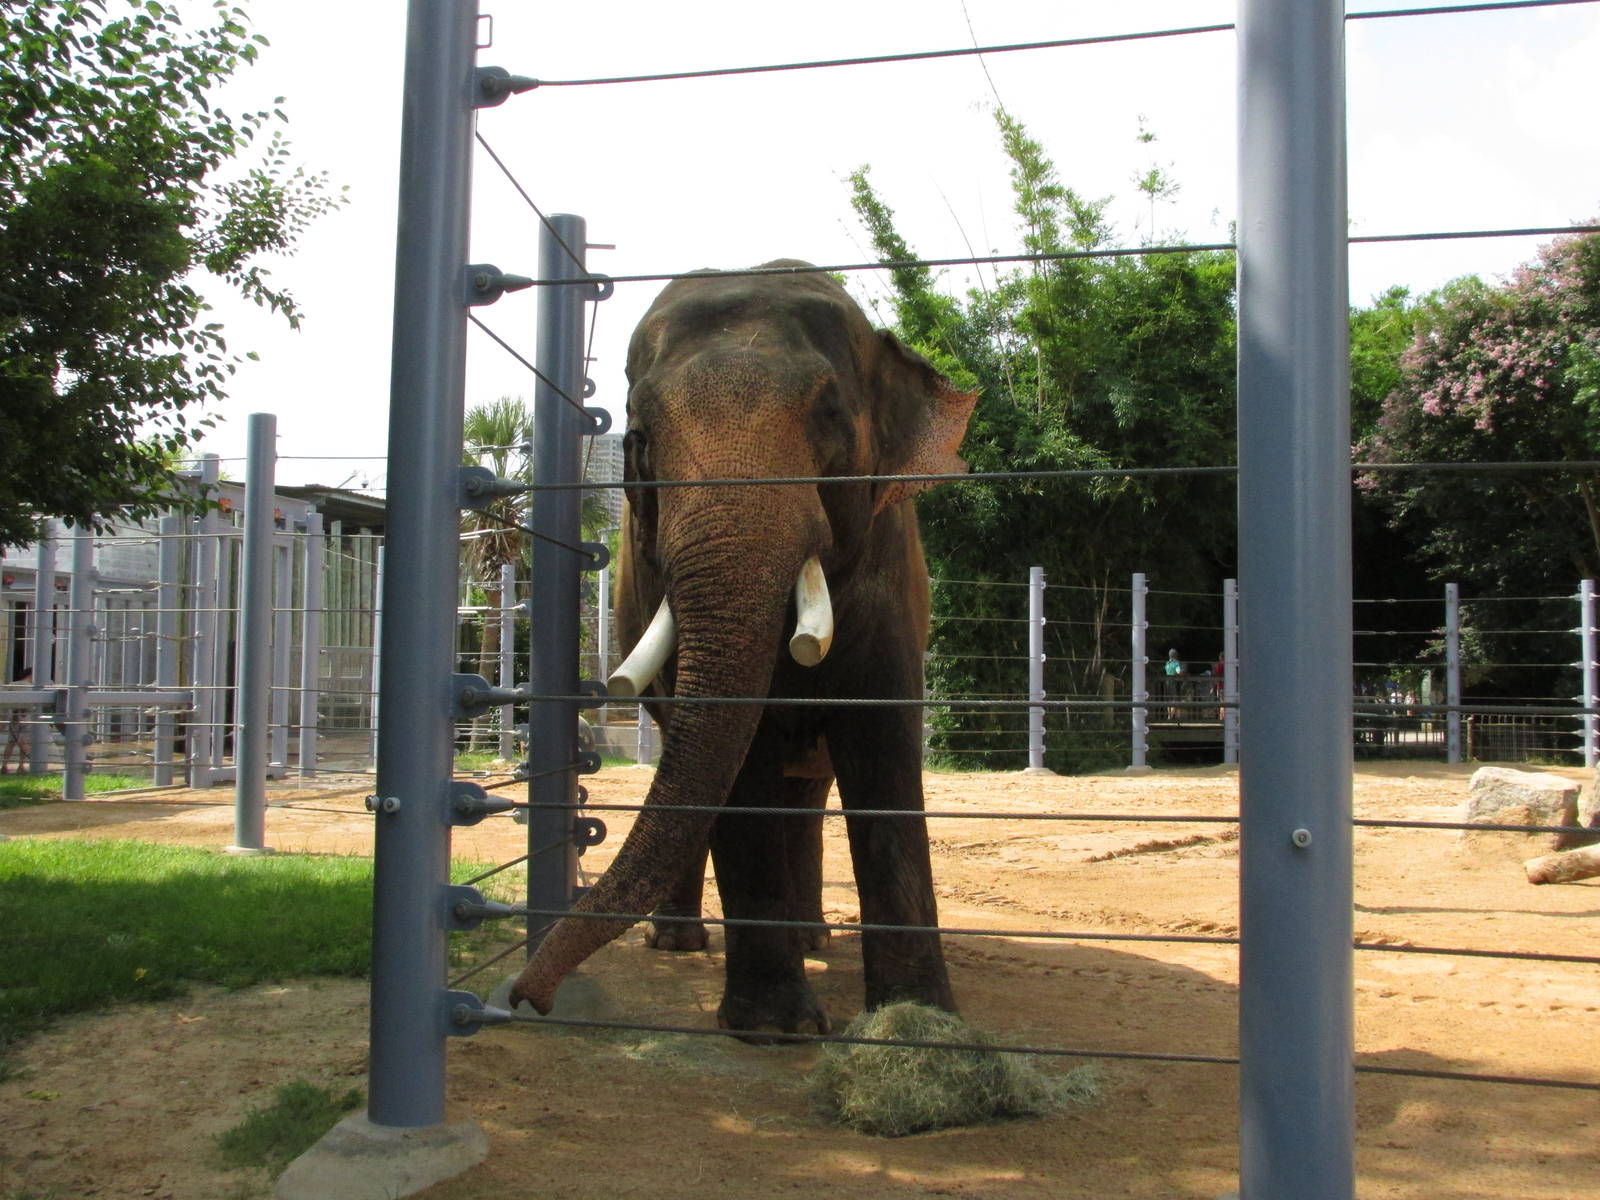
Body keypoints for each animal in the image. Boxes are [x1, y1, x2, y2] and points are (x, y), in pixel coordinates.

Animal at [508, 260, 977, 1037]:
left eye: (828, 414)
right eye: (639, 435)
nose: (525, 997)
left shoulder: (887, 574)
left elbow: (881, 748)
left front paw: (920, 1022)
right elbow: (741, 767)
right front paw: (776, 1029)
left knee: (807, 793)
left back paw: (814, 937)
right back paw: (681, 941)